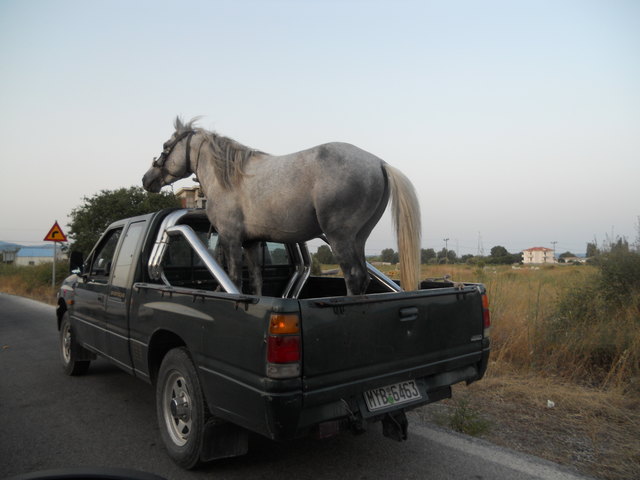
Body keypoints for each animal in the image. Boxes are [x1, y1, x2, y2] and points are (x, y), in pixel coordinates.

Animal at [142, 117, 421, 296]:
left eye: (166, 147)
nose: (147, 180)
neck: (230, 178)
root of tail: (379, 162)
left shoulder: (230, 239)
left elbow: (234, 279)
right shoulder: (251, 243)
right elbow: (255, 282)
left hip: (339, 238)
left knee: (354, 277)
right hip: (358, 239)